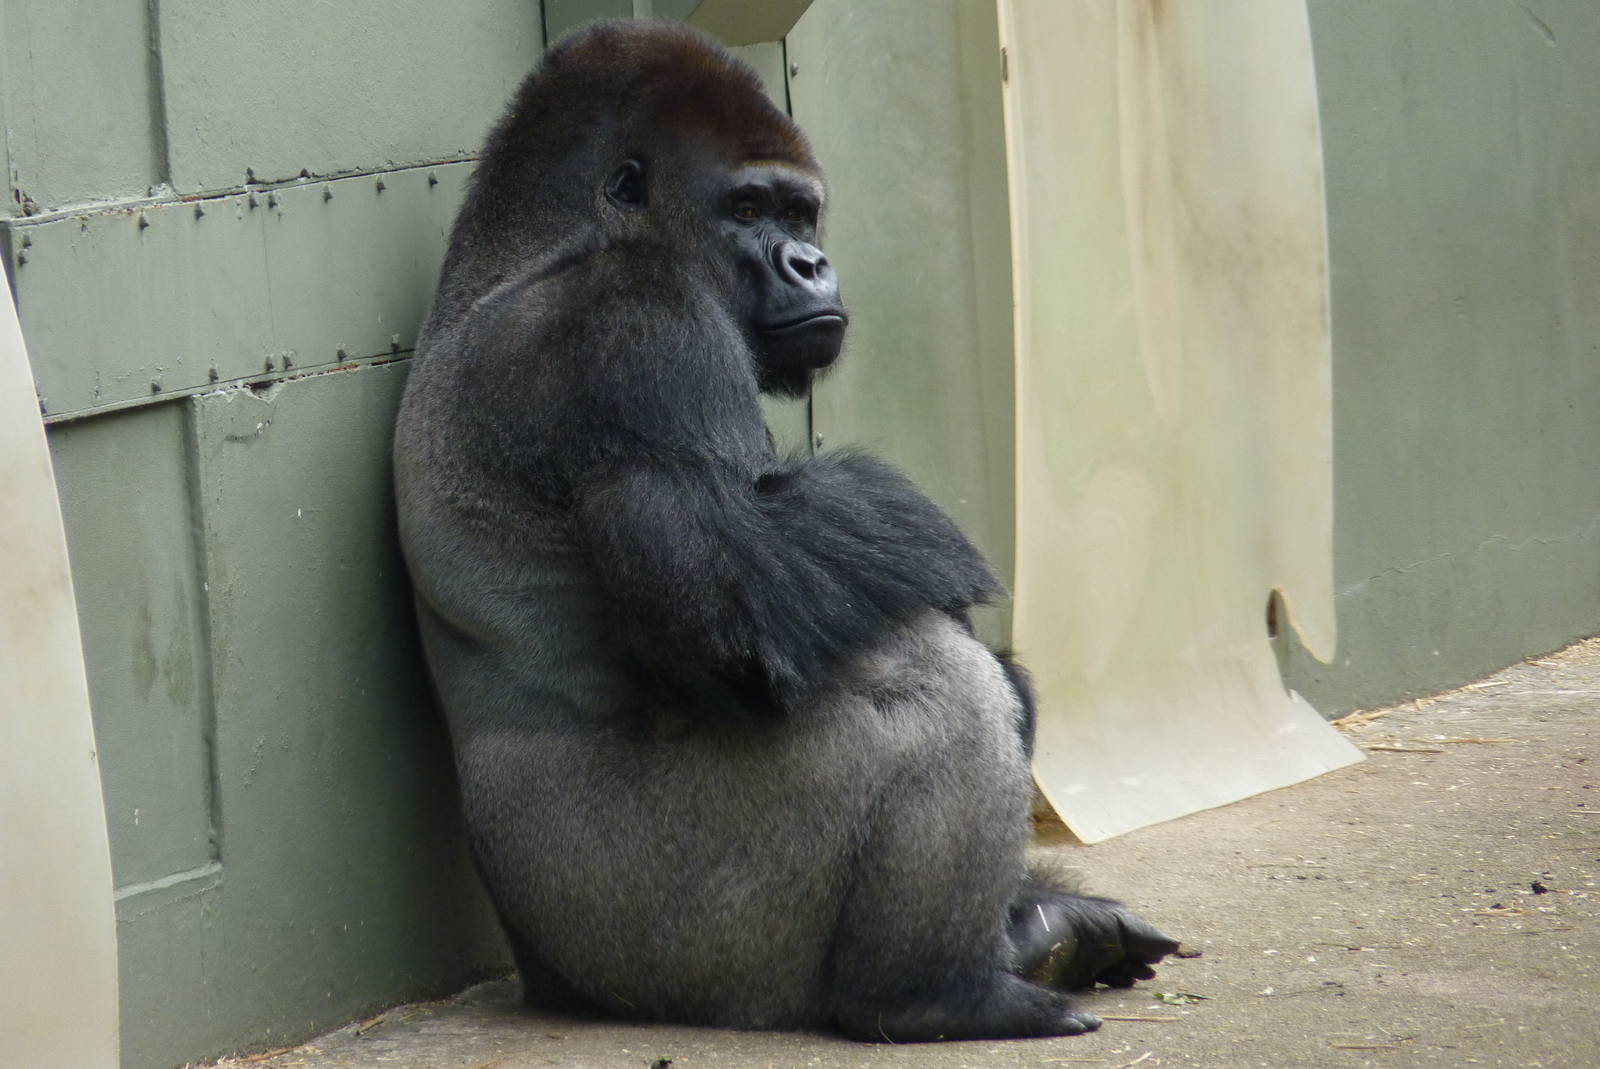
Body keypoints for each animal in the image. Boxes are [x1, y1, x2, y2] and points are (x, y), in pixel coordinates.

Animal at [393, 19, 1177, 1043]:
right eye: (747, 207)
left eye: (802, 216)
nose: (809, 264)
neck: (536, 248)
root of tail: (548, 981)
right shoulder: (638, 327)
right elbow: (738, 618)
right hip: (678, 949)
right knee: (927, 680)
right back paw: (931, 992)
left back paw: (1036, 932)